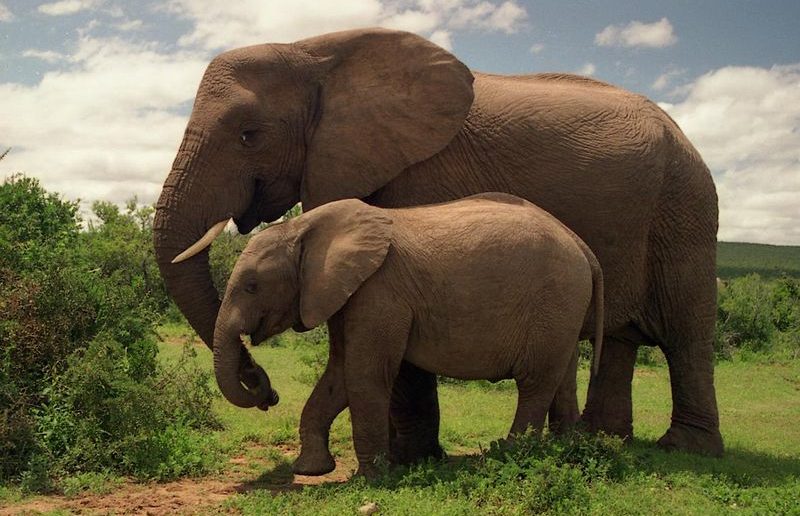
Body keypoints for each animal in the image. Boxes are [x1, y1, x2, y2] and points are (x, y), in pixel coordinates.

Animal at [212, 194, 605, 476]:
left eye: (251, 286)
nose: (270, 395)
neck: (303, 227)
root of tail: (583, 246)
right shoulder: (343, 294)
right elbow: (338, 374)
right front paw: (310, 470)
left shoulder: (379, 292)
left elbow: (364, 375)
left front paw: (373, 479)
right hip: (564, 309)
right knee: (562, 378)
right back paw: (564, 452)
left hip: (554, 300)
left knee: (535, 382)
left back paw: (507, 456)